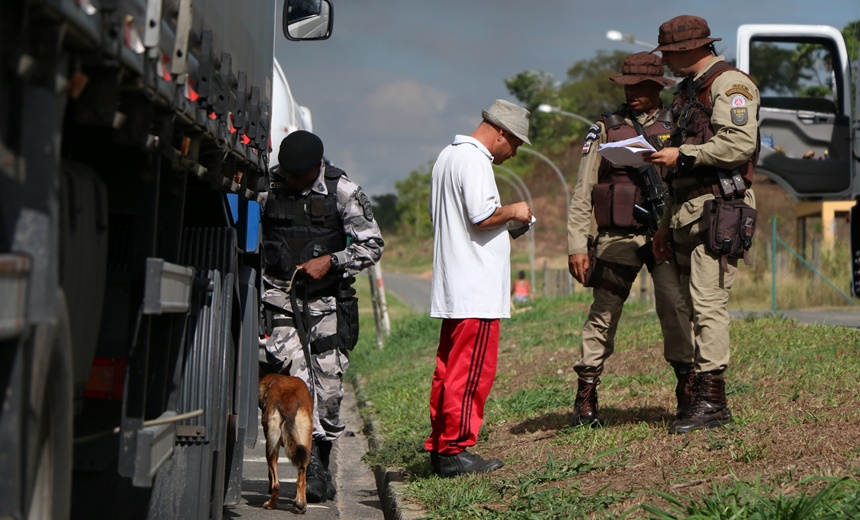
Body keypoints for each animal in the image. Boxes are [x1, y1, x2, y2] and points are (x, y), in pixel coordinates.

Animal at [260, 366, 318, 512]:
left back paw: (271, 504)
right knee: (301, 478)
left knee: (276, 484)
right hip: (305, 442)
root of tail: (289, 402)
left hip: (270, 447)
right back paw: (301, 504)